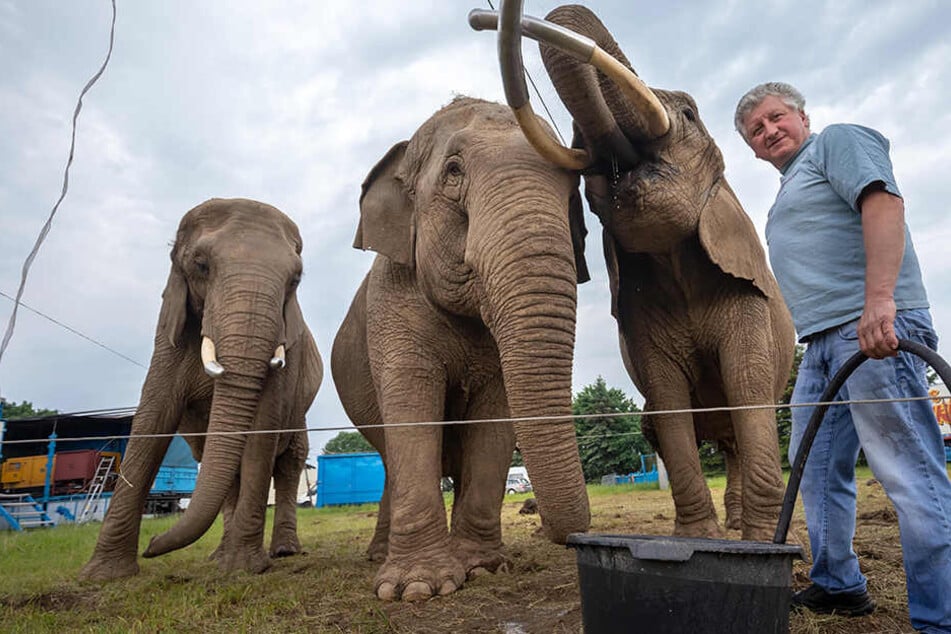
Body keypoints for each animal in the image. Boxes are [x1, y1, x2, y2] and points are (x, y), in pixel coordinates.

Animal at [79, 196, 324, 576]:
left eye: (295, 280)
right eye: (201, 265)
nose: (152, 546)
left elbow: (263, 428)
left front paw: (242, 568)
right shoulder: (170, 336)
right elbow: (152, 418)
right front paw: (103, 575)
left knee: (290, 461)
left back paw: (283, 551)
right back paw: (219, 556)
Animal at [330, 96, 592, 600]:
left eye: (574, 190)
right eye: (453, 172)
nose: (561, 533)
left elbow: (496, 416)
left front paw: (482, 570)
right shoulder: (391, 305)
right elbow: (411, 404)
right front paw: (415, 588)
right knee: (391, 457)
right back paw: (378, 557)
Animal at [490, 3, 796, 540]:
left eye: (690, 113)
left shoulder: (745, 297)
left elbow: (747, 387)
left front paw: (766, 543)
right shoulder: (639, 315)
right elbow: (667, 396)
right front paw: (698, 540)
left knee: (736, 435)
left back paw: (741, 524)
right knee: (664, 424)